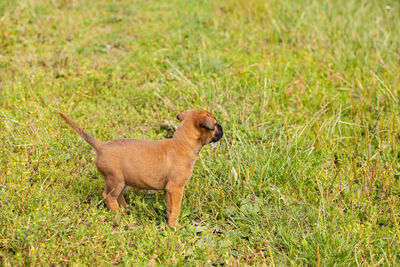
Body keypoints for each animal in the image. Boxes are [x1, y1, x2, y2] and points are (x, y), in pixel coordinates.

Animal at [59, 110, 223, 227]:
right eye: (215, 124)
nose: (222, 128)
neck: (182, 143)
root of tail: (101, 146)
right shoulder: (175, 188)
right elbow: (176, 209)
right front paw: (174, 226)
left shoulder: (169, 191)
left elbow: (170, 208)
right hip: (116, 180)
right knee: (108, 196)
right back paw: (120, 214)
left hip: (121, 181)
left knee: (118, 196)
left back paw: (127, 208)